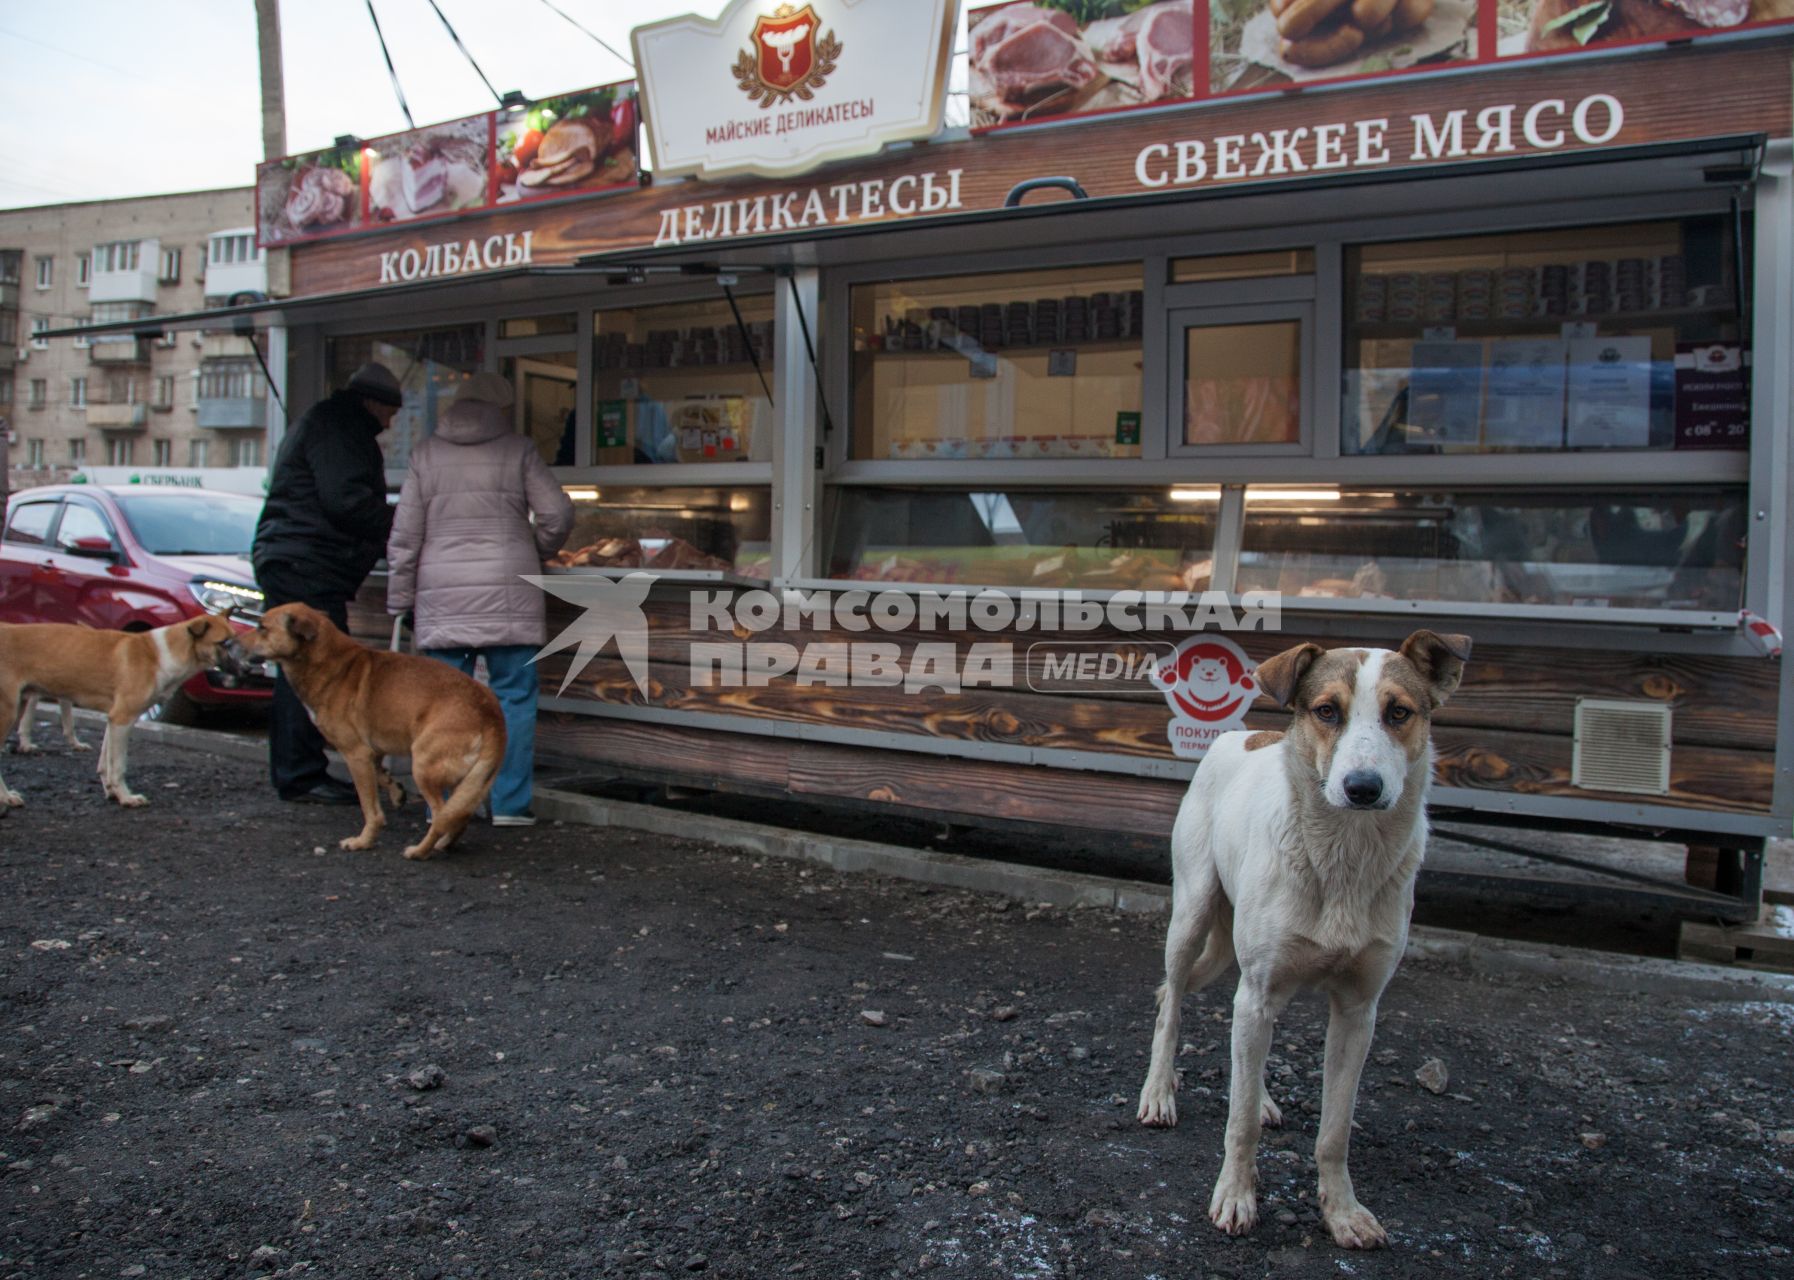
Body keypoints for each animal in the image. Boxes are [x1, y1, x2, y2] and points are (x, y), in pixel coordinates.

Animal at [0, 613, 238, 804]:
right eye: (223, 643)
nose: (244, 667)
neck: (162, 655)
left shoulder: (113, 719)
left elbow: (106, 762)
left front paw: (112, 792)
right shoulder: (123, 718)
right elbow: (119, 766)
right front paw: (126, 797)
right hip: (8, 713)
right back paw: (6, 797)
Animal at [1133, 628, 1471, 1249]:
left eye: (1399, 712)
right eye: (1326, 711)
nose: (1362, 787)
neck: (1342, 857)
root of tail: (1242, 734)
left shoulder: (1358, 1011)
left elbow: (1334, 1130)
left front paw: (1342, 1211)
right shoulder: (1257, 989)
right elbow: (1239, 1122)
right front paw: (1236, 1196)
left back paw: (1262, 1095)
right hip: (1192, 918)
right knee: (1172, 1003)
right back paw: (1159, 1092)